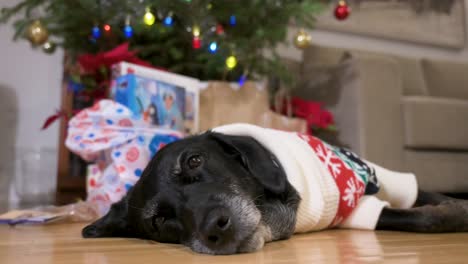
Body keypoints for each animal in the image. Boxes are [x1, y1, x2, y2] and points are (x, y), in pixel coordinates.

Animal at [83, 131, 468, 254]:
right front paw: (455, 212)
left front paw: (454, 204)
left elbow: (423, 197)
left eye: (194, 160)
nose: (215, 228)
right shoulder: (356, 211)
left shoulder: (385, 177)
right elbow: (418, 218)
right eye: (158, 221)